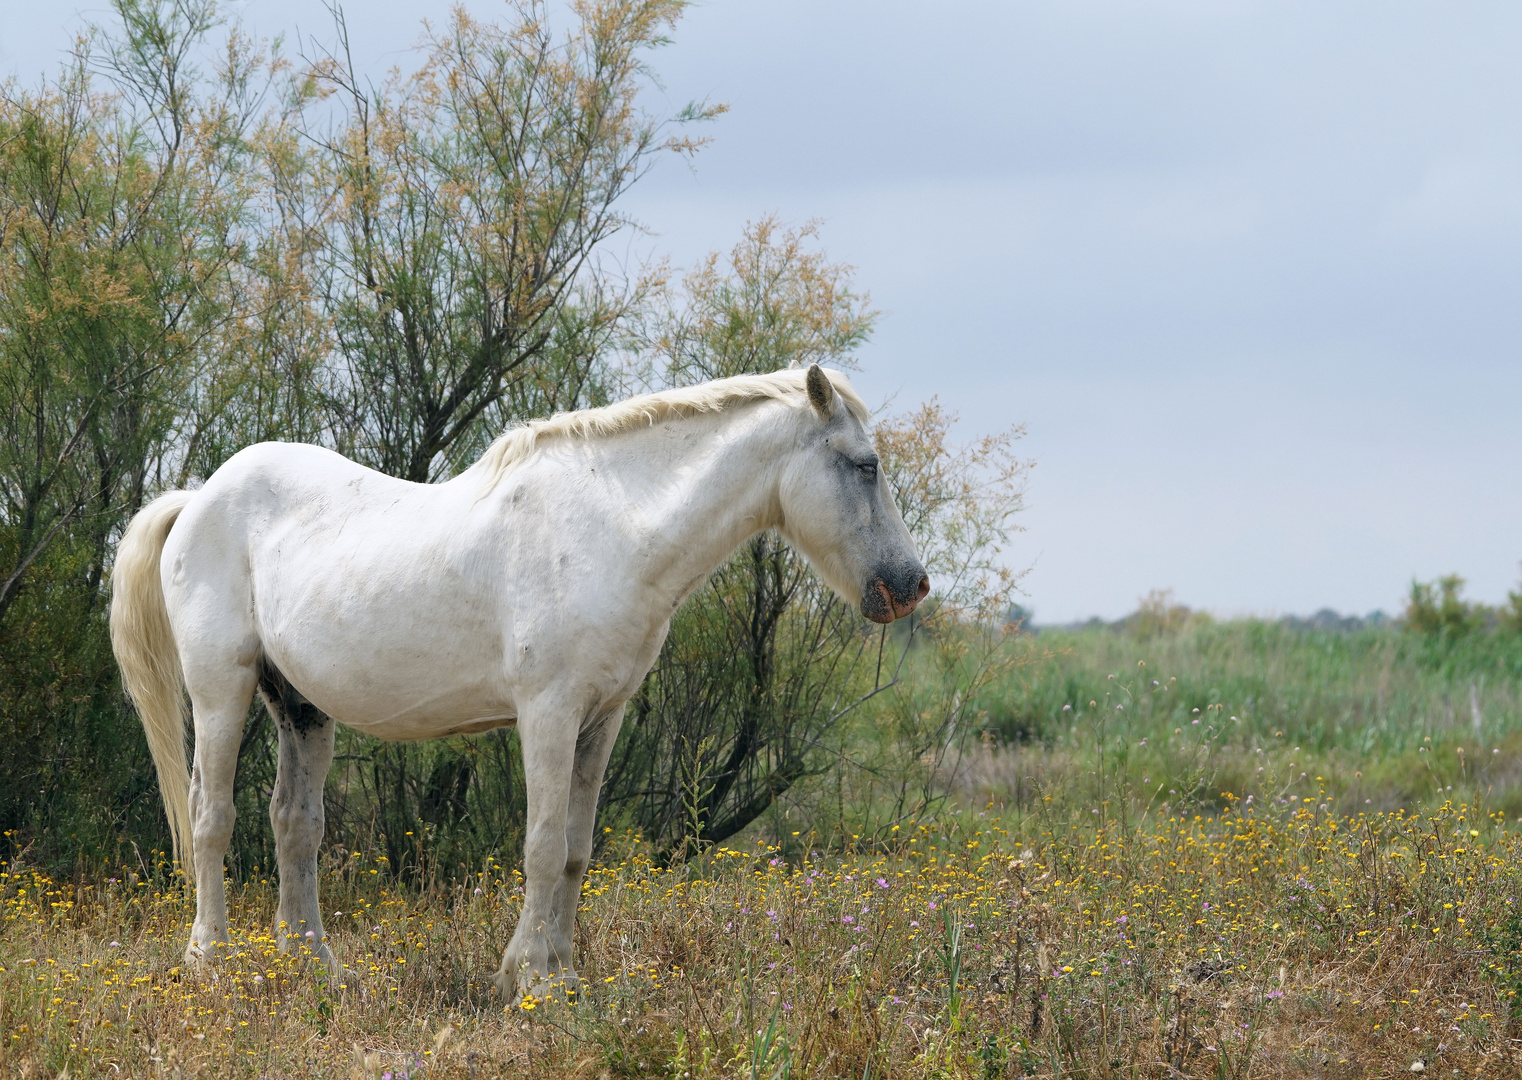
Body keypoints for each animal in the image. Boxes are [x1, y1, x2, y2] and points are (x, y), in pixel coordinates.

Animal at [110, 363, 925, 997]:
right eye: (864, 464)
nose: (911, 585)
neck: (614, 528)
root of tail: (198, 498)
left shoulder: (601, 719)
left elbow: (575, 849)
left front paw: (563, 975)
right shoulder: (549, 714)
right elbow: (539, 845)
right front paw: (527, 977)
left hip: (301, 708)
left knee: (294, 825)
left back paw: (314, 967)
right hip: (221, 690)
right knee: (212, 817)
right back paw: (210, 960)